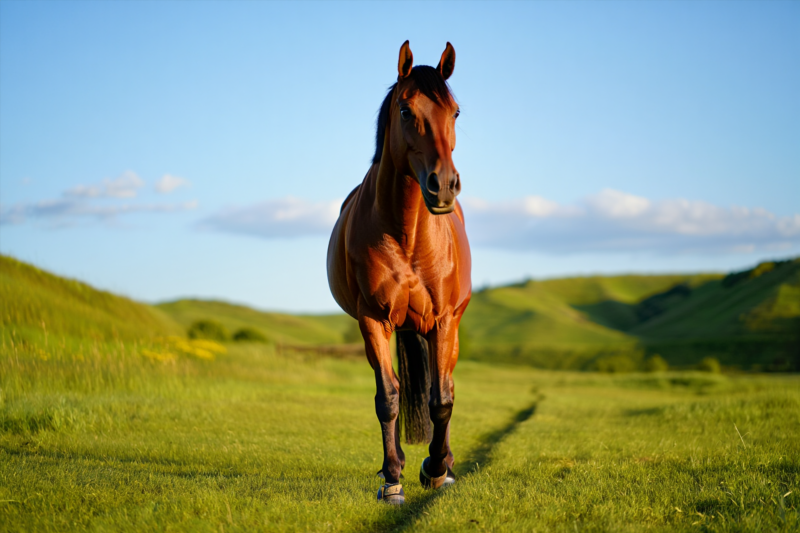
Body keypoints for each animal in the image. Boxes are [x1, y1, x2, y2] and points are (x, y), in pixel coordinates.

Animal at [327, 41, 471, 505]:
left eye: (455, 112)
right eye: (406, 111)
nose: (443, 185)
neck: (407, 235)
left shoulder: (443, 321)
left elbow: (440, 400)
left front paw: (436, 468)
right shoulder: (373, 320)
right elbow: (388, 398)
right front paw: (393, 477)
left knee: (445, 389)